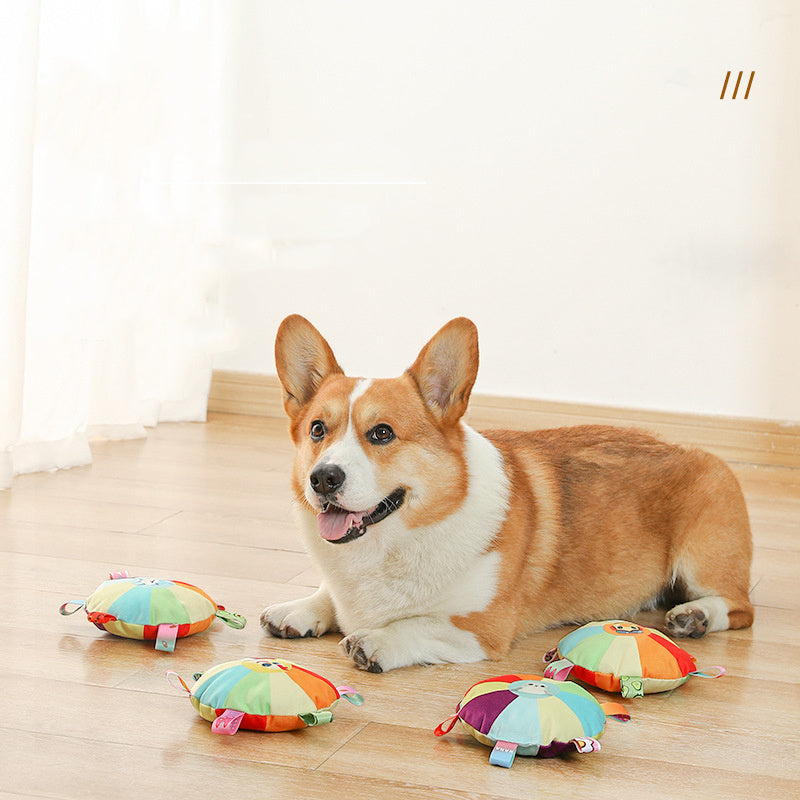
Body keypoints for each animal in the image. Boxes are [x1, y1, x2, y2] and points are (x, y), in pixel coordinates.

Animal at [262, 316, 756, 672]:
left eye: (382, 433)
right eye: (317, 430)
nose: (323, 479)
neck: (391, 546)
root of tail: (691, 448)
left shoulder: (482, 629)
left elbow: (418, 625)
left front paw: (377, 640)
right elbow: (326, 595)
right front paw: (299, 610)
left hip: (702, 557)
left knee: (741, 608)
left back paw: (697, 616)